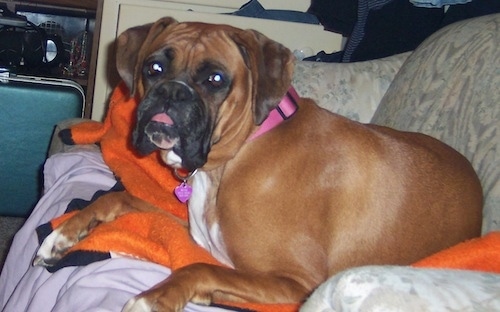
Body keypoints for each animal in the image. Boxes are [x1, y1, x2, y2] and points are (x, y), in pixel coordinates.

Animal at [35, 17, 480, 312]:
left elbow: (199, 270)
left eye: (215, 80)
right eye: (154, 68)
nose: (172, 93)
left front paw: (153, 298)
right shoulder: (197, 234)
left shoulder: (295, 282)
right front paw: (64, 236)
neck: (232, 159)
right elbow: (119, 199)